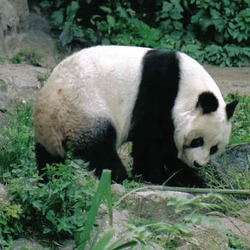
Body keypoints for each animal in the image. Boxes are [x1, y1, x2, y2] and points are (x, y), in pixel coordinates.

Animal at [32, 45, 237, 187]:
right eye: (198, 141)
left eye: (214, 148)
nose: (198, 164)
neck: (186, 86)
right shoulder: (159, 93)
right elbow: (153, 144)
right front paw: (159, 177)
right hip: (86, 110)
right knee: (100, 148)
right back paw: (120, 177)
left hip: (51, 129)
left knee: (48, 156)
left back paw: (50, 177)